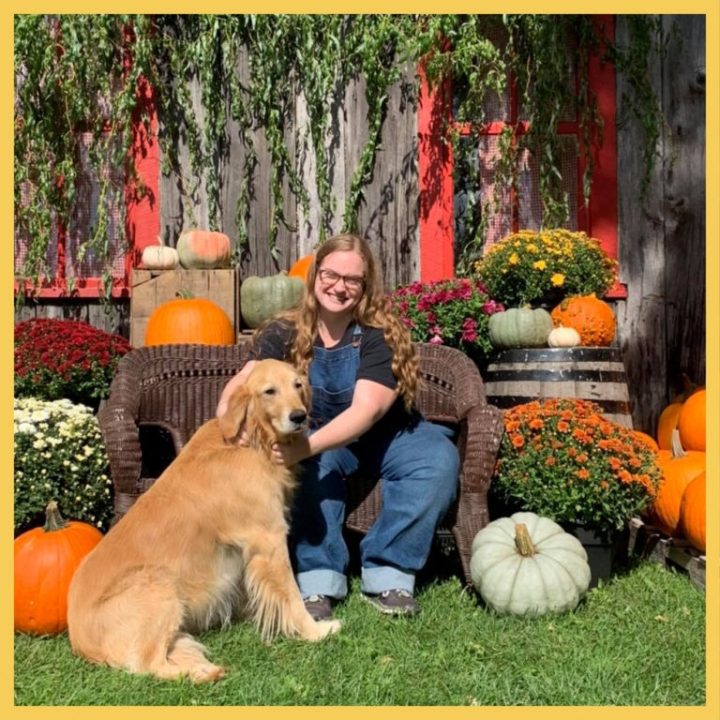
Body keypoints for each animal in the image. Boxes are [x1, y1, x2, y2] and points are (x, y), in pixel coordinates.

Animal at [67, 358, 340, 684]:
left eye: (297, 385)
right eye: (269, 391)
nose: (299, 416)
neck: (251, 440)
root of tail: (79, 641)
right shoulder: (270, 539)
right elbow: (292, 595)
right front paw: (316, 630)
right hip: (157, 583)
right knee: (149, 664)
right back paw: (202, 672)